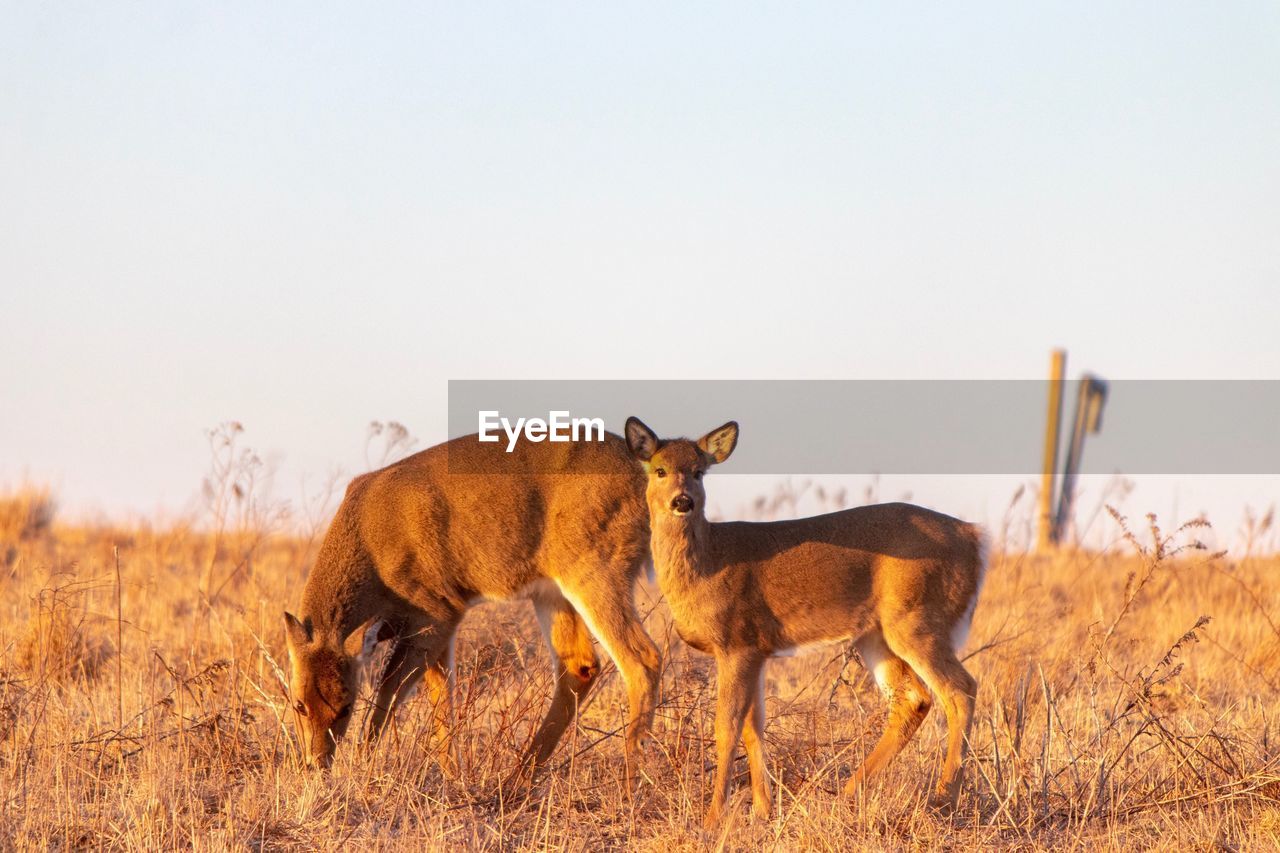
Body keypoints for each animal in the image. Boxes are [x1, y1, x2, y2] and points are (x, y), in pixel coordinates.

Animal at [280, 427, 660, 778]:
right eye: (298, 704)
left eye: (346, 706)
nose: (316, 764)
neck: (372, 548)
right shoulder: (434, 624)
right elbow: (441, 695)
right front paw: (452, 775)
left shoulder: (437, 610)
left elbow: (393, 690)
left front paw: (364, 763)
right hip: (552, 591)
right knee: (580, 667)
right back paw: (517, 778)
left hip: (595, 567)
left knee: (643, 659)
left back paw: (630, 780)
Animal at [622, 414, 988, 824]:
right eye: (659, 470)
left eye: (699, 472)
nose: (682, 501)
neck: (708, 563)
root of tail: (975, 538)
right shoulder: (757, 648)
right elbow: (754, 726)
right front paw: (762, 810)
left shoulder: (736, 641)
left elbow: (726, 727)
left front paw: (714, 817)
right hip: (877, 633)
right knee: (913, 697)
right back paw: (849, 792)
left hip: (918, 618)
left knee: (960, 689)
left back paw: (944, 799)